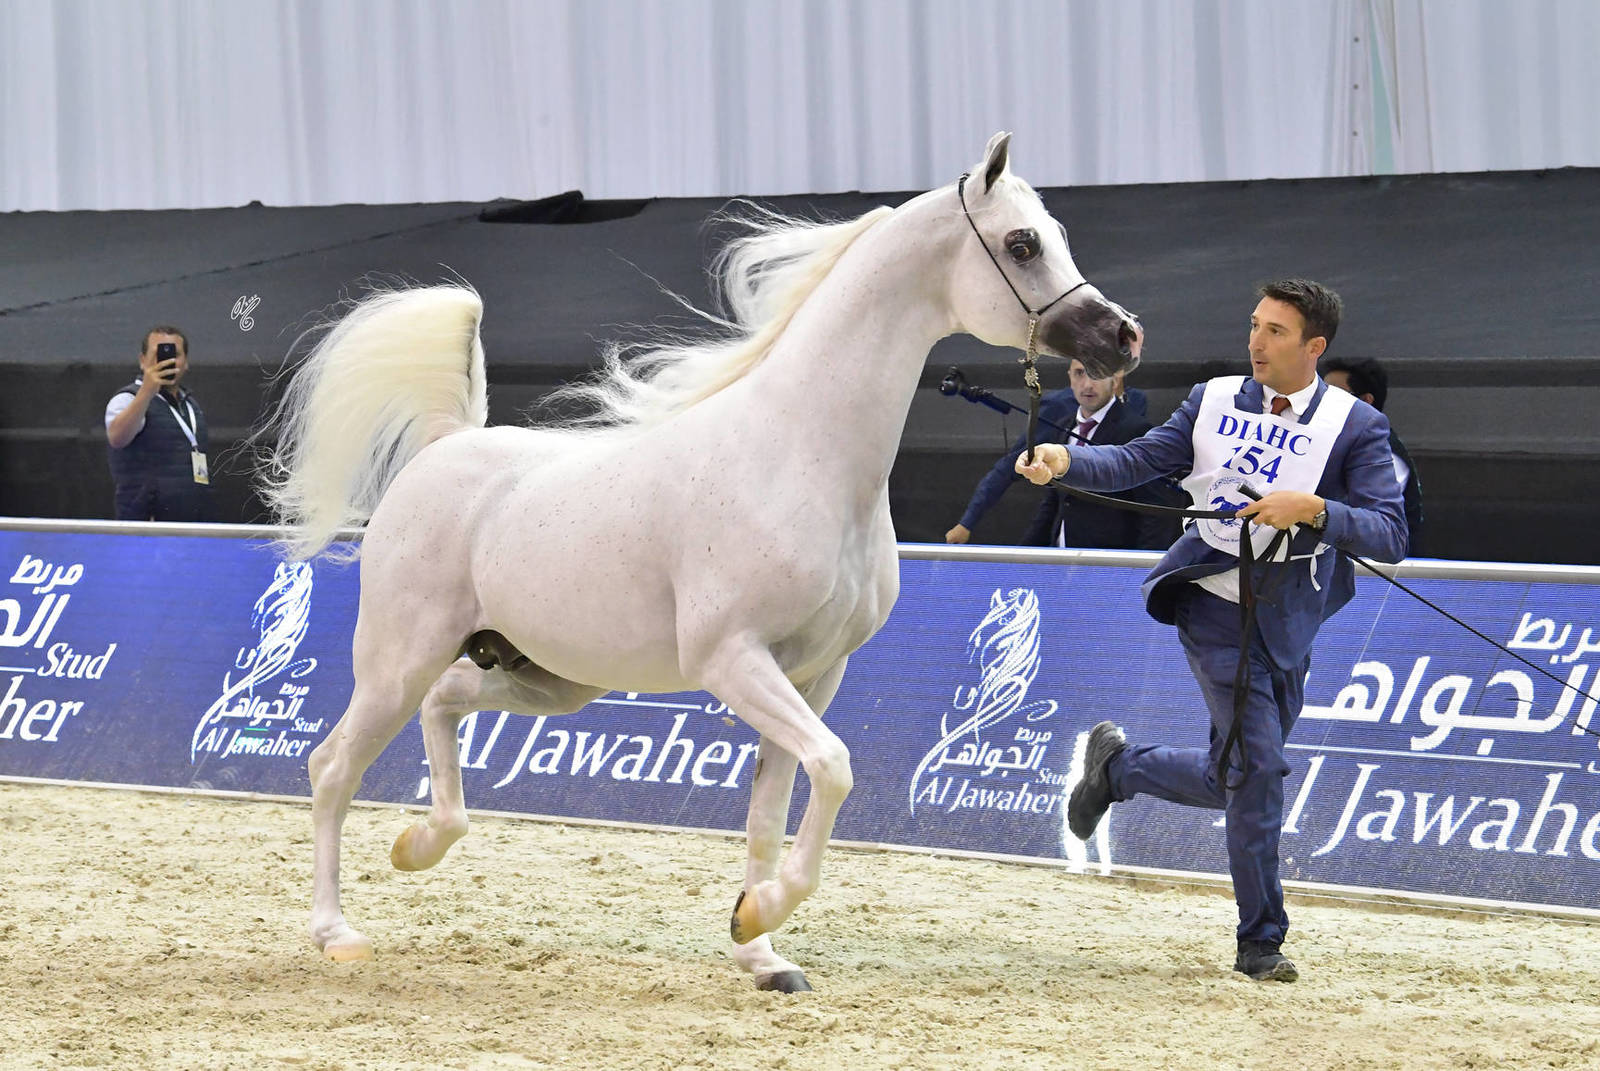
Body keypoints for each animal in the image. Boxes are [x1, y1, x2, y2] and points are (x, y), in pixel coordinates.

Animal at [261, 132, 1143, 991]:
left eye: (1055, 233)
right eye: (1022, 243)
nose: (1124, 336)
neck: (799, 453)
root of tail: (446, 445)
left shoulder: (813, 674)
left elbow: (776, 807)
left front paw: (760, 947)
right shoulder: (733, 659)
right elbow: (835, 767)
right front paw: (758, 916)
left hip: (548, 676)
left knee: (445, 703)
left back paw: (419, 843)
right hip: (396, 659)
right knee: (332, 765)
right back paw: (337, 932)